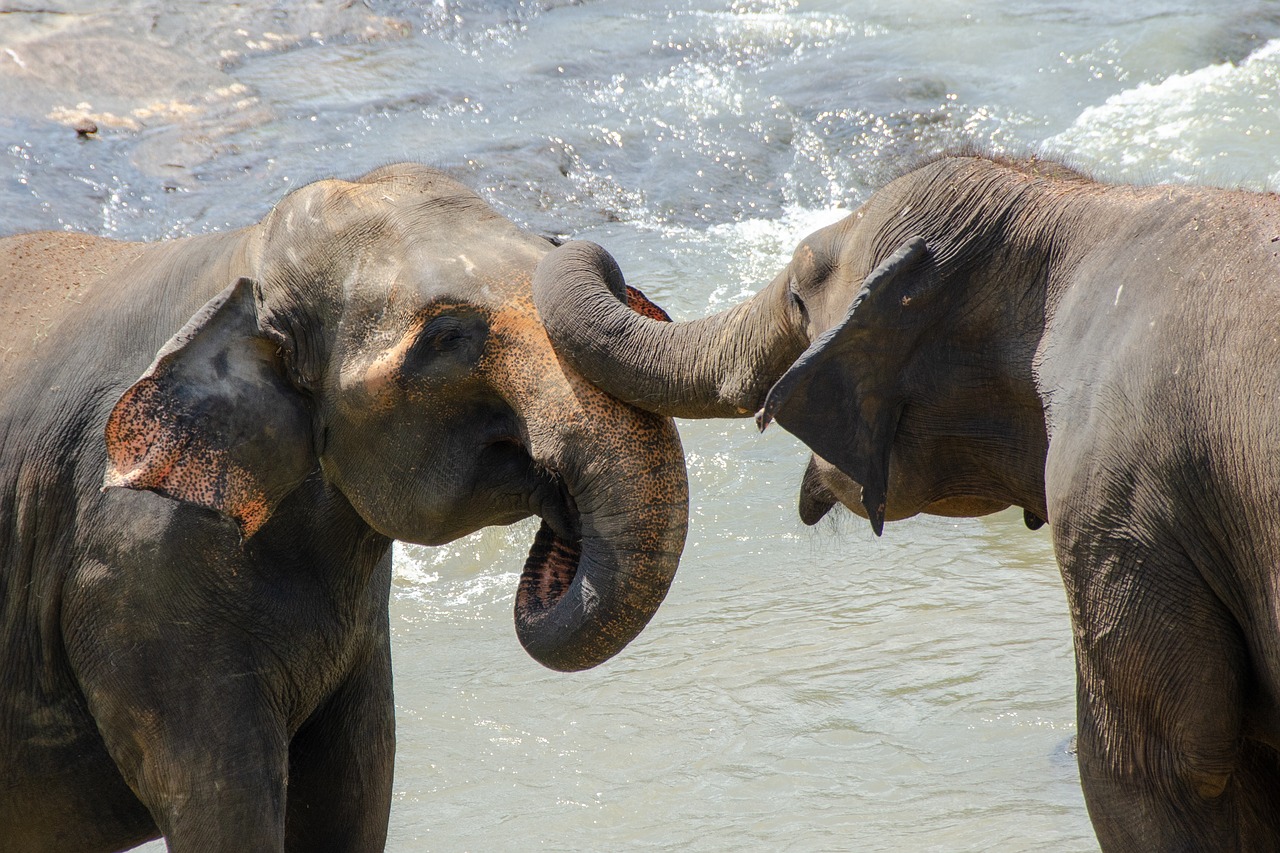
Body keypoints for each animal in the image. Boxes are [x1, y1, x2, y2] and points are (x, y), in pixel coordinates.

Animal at [0, 163, 687, 852]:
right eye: (445, 338)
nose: (580, 249)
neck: (245, 260)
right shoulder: (135, 576)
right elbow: (225, 807)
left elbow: (354, 793)